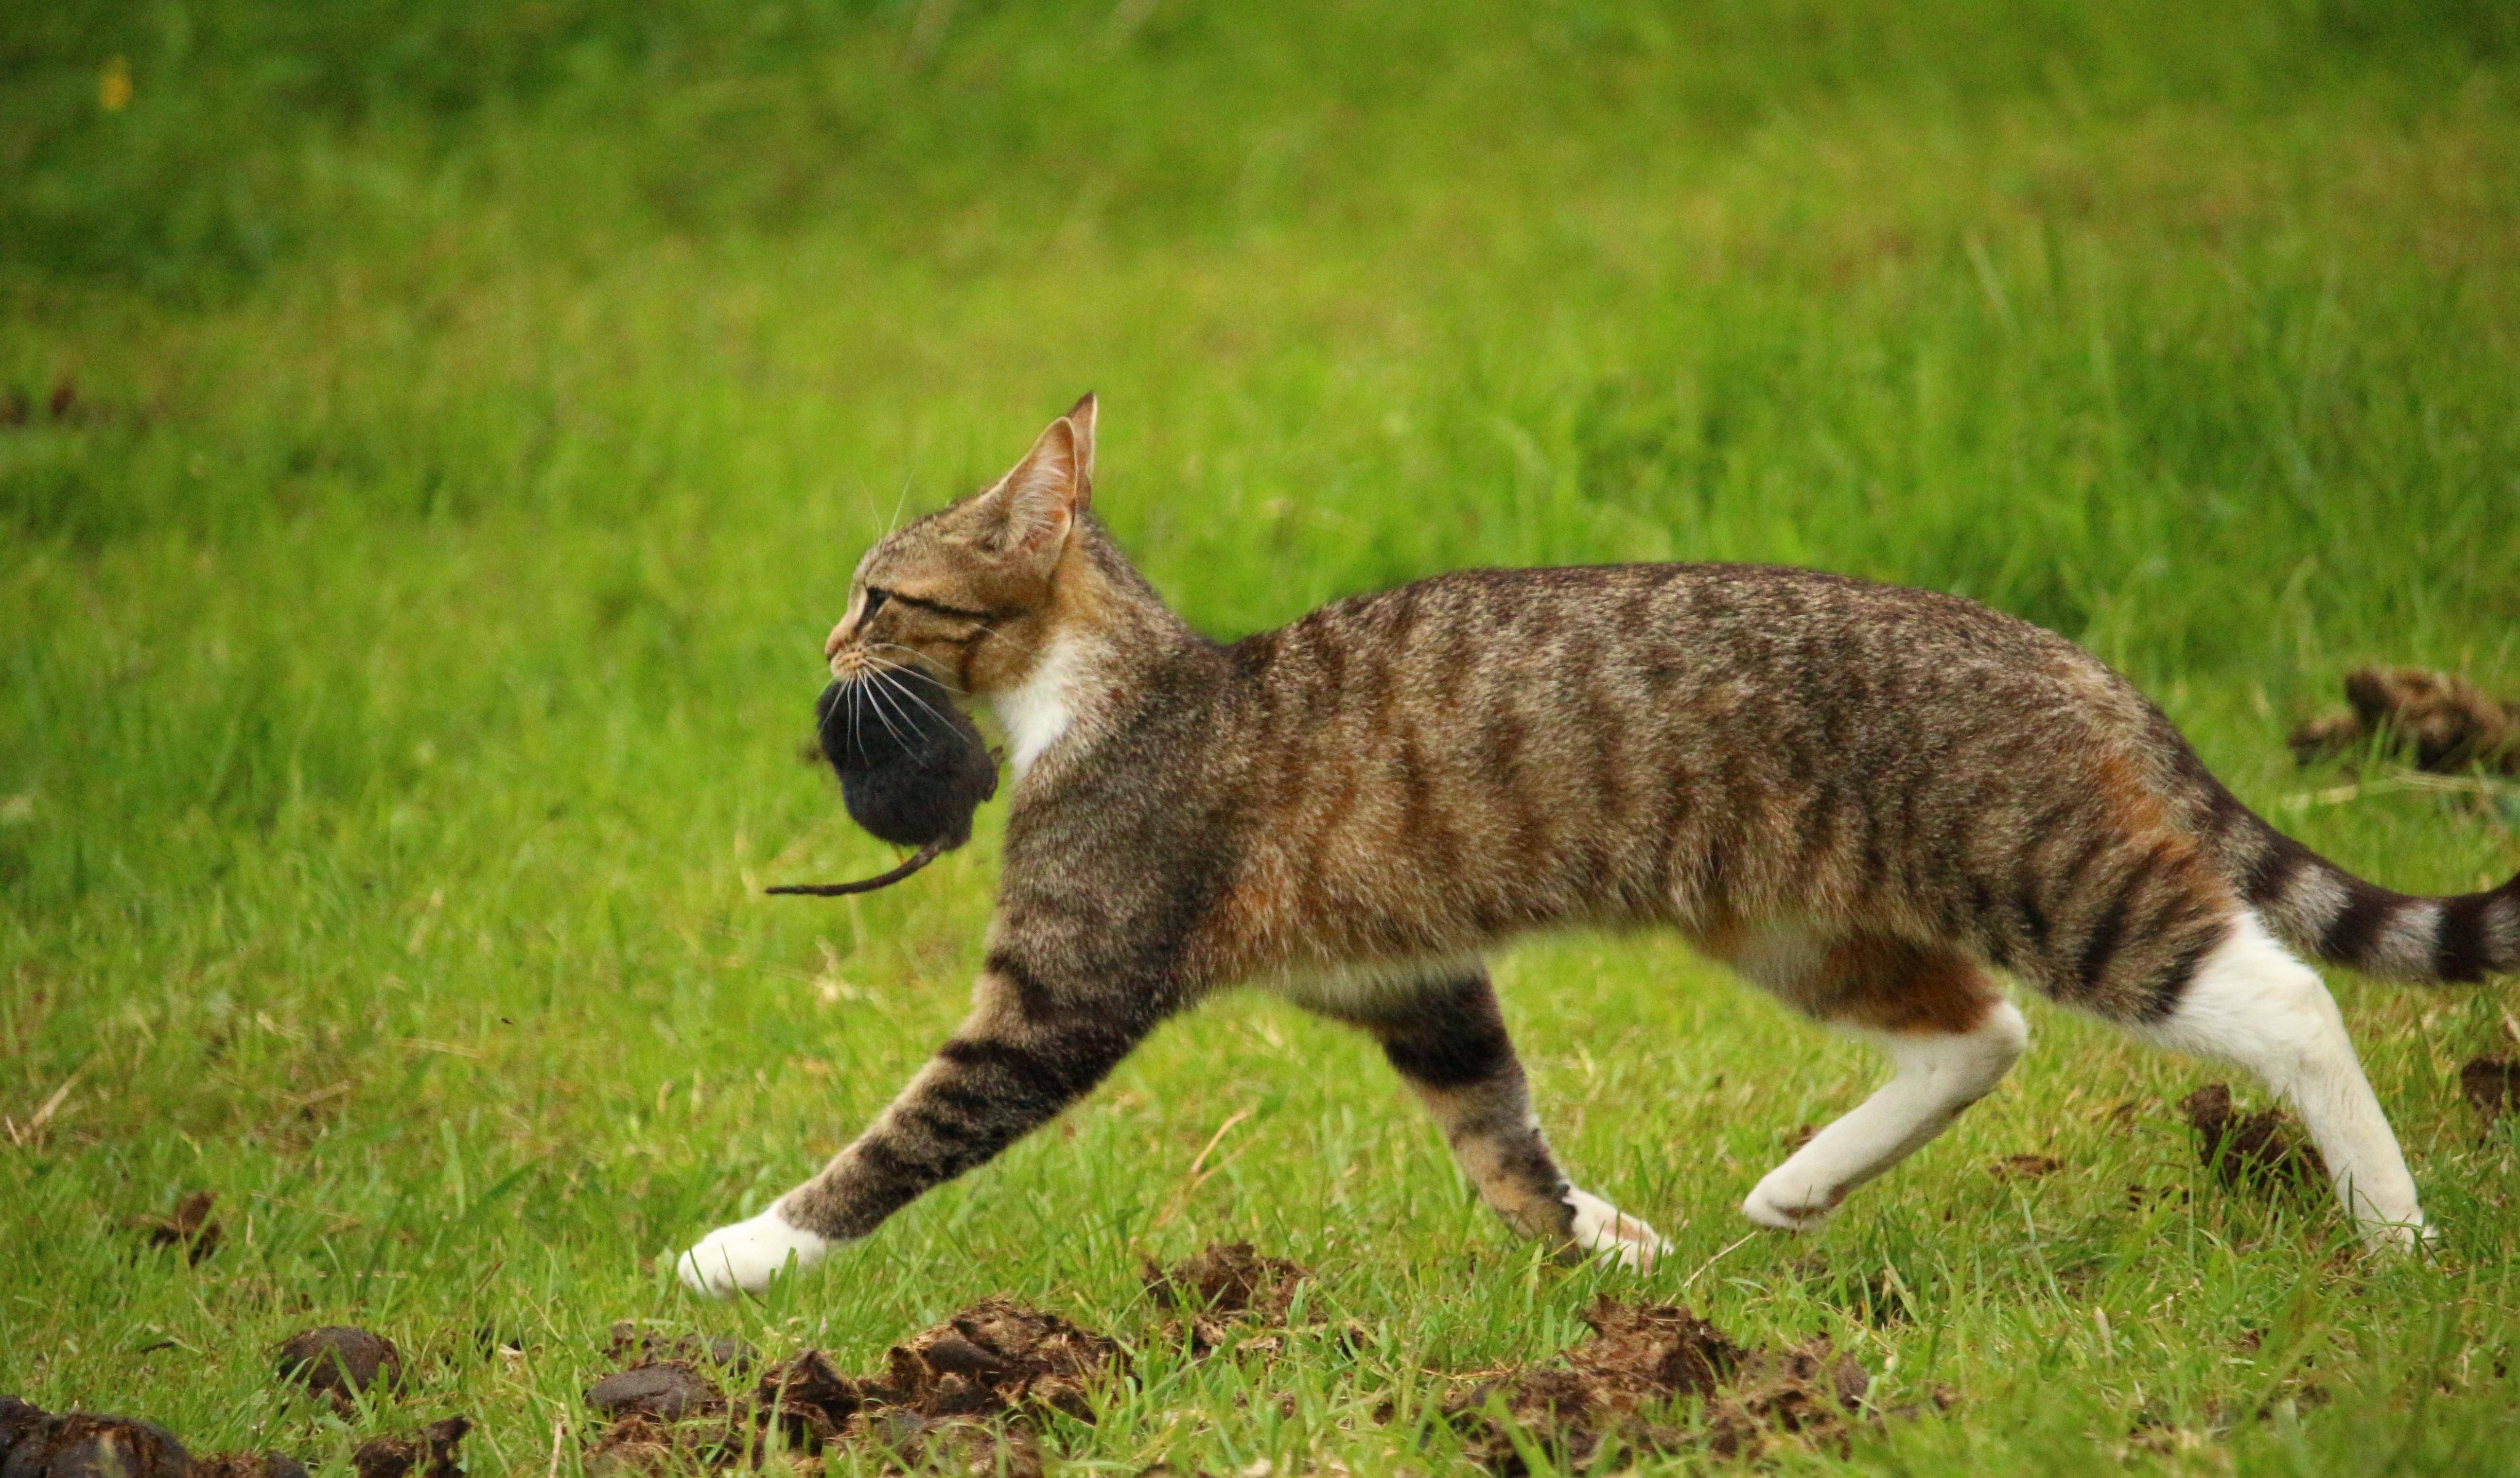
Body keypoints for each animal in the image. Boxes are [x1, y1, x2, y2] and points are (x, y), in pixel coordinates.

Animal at [675, 395, 2520, 1299]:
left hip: (2041, 867)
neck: (1110, 689)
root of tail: (2062, 649)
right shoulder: (1415, 983)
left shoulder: (1064, 985)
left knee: (2275, 998)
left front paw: (742, 1253)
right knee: (1977, 1030)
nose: (821, 645)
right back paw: (1796, 1186)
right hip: (1788, 921)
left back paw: (2393, 1234)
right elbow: (1501, 1144)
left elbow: (903, 1136)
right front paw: (1603, 1244)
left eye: (877, 594)